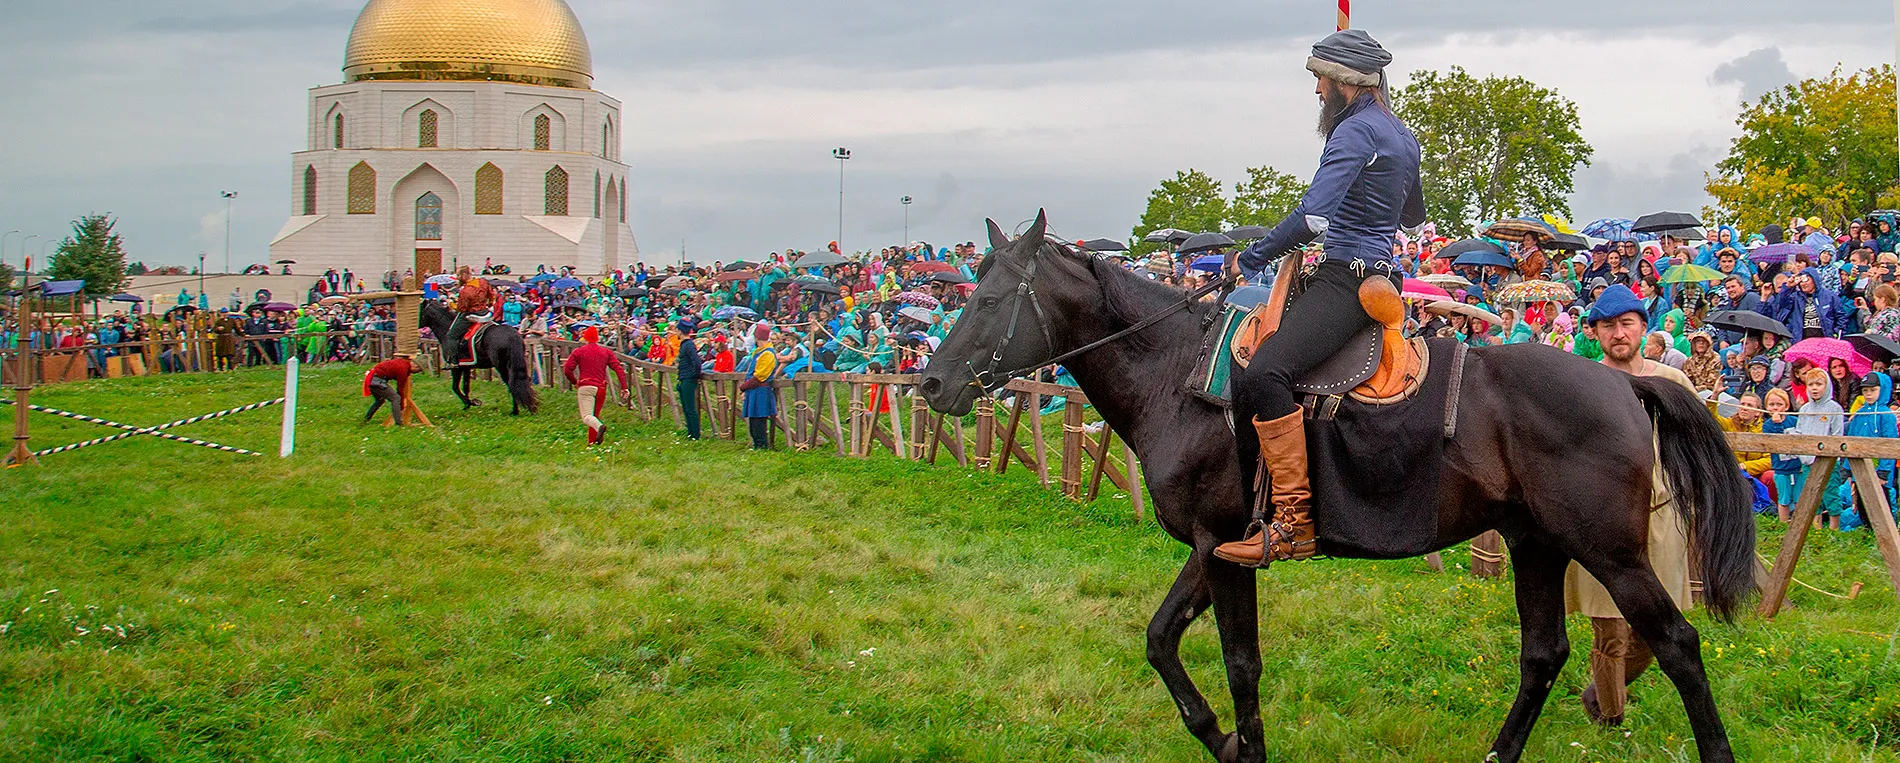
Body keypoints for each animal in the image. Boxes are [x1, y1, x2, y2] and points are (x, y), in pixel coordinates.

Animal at [912, 213, 1755, 763]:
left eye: (991, 301)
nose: (932, 383)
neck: (1176, 375)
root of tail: (1624, 384)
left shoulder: (1224, 547)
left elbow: (1241, 662)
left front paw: (1244, 747)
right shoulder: (1216, 547)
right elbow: (1159, 638)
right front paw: (1220, 736)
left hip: (1609, 552)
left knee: (1676, 643)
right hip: (1536, 543)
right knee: (1543, 653)